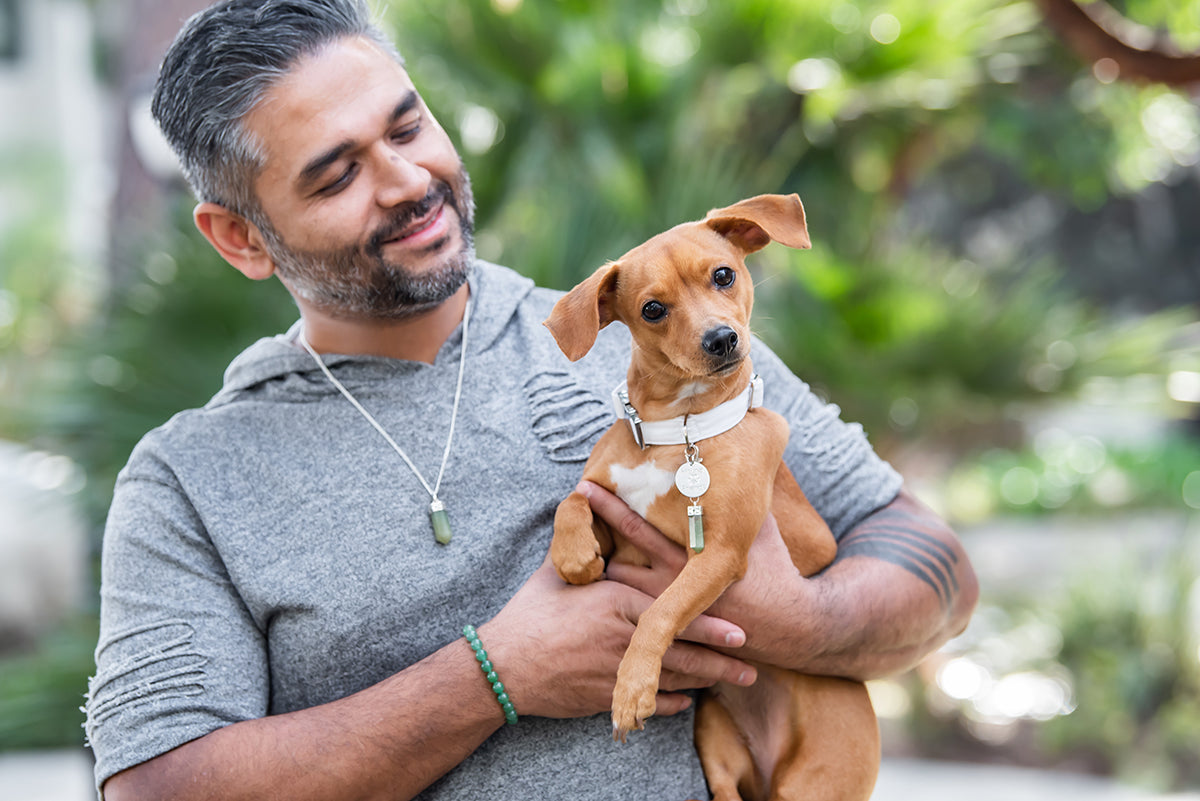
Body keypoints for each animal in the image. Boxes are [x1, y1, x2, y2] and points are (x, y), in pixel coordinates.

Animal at [549, 195, 878, 801]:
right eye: (653, 309)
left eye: (723, 275)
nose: (721, 339)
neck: (679, 430)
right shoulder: (615, 510)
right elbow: (575, 500)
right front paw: (575, 557)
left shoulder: (721, 554)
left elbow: (660, 610)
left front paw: (632, 688)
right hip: (718, 751)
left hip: (814, 784)